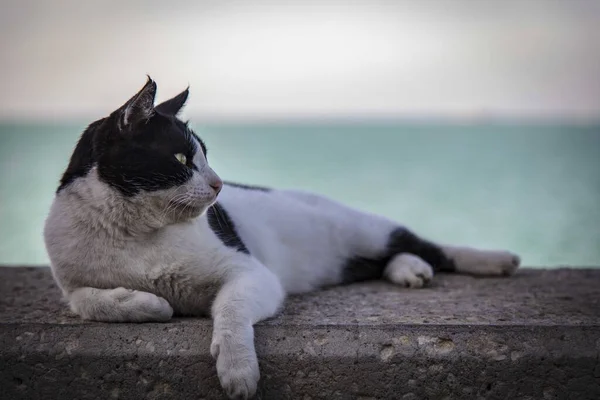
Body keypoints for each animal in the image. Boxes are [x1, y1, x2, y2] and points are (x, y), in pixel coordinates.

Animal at [42, 78, 520, 400]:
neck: (140, 234)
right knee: (393, 257)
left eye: (207, 157)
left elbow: (230, 312)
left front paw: (237, 370)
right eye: (181, 158)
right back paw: (409, 271)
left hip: (366, 228)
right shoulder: (70, 282)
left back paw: (492, 260)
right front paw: (149, 304)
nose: (219, 185)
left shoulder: (250, 274)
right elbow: (90, 300)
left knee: (427, 246)